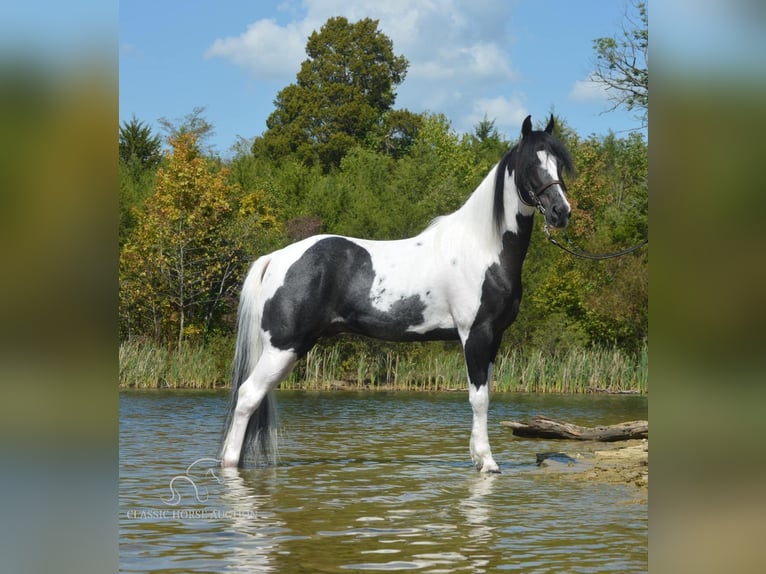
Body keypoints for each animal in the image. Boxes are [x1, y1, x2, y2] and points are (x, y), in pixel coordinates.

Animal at [219, 115, 572, 474]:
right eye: (531, 164)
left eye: (559, 164)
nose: (561, 211)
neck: (481, 247)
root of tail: (275, 258)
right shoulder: (475, 334)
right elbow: (479, 398)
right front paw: (487, 462)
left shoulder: (493, 338)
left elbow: (485, 394)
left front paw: (477, 455)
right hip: (283, 346)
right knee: (248, 396)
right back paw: (230, 464)